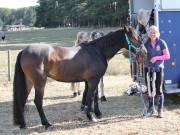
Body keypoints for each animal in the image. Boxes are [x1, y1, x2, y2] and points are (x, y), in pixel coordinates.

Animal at [12, 25, 143, 129]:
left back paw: (23, 124)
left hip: (29, 82)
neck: (97, 50)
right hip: (39, 82)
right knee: (38, 101)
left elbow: (94, 96)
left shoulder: (91, 80)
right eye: (135, 37)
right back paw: (46, 123)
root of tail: (24, 50)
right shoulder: (93, 80)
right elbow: (90, 96)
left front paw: (96, 112)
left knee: (22, 100)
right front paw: (91, 116)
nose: (144, 51)